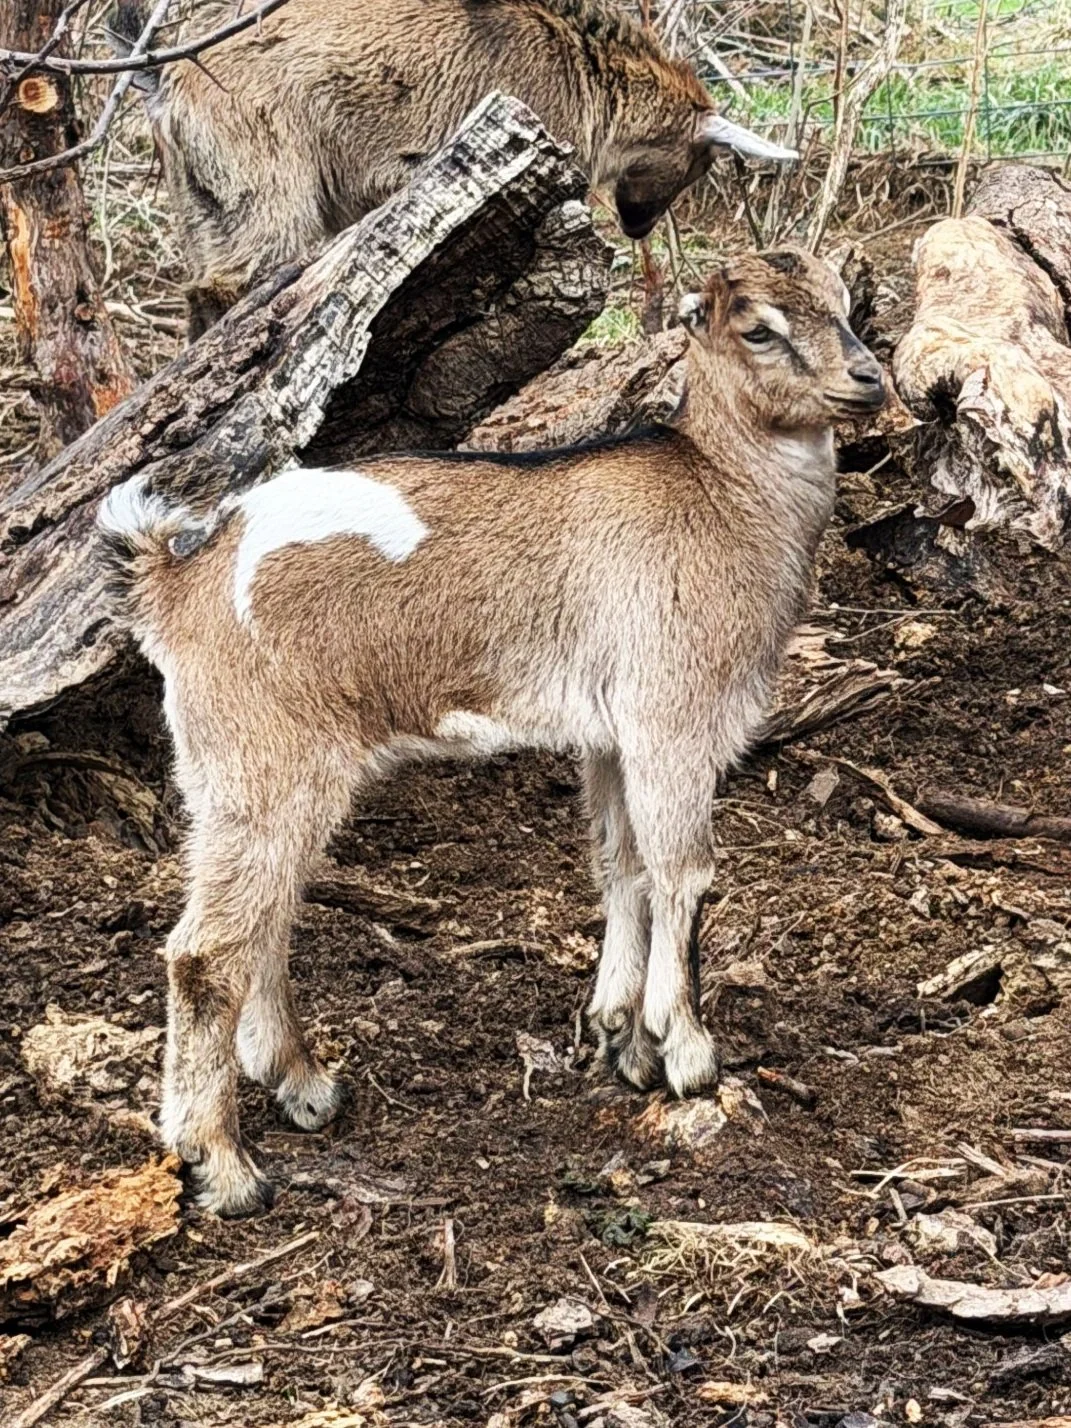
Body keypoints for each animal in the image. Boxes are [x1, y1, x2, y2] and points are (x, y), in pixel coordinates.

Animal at [98, 249, 884, 1216]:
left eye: (845, 304)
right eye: (758, 329)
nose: (868, 379)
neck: (718, 495)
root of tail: (174, 584)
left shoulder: (610, 734)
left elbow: (620, 864)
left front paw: (620, 1036)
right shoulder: (671, 713)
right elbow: (683, 871)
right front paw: (688, 1053)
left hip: (232, 773)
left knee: (265, 918)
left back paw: (303, 1085)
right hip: (266, 756)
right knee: (205, 951)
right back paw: (224, 1164)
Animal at [111, 0, 795, 336]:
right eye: (699, 163)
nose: (637, 226)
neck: (586, 70)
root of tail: (167, 79)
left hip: (202, 201)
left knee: (205, 289)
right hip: (264, 175)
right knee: (245, 278)